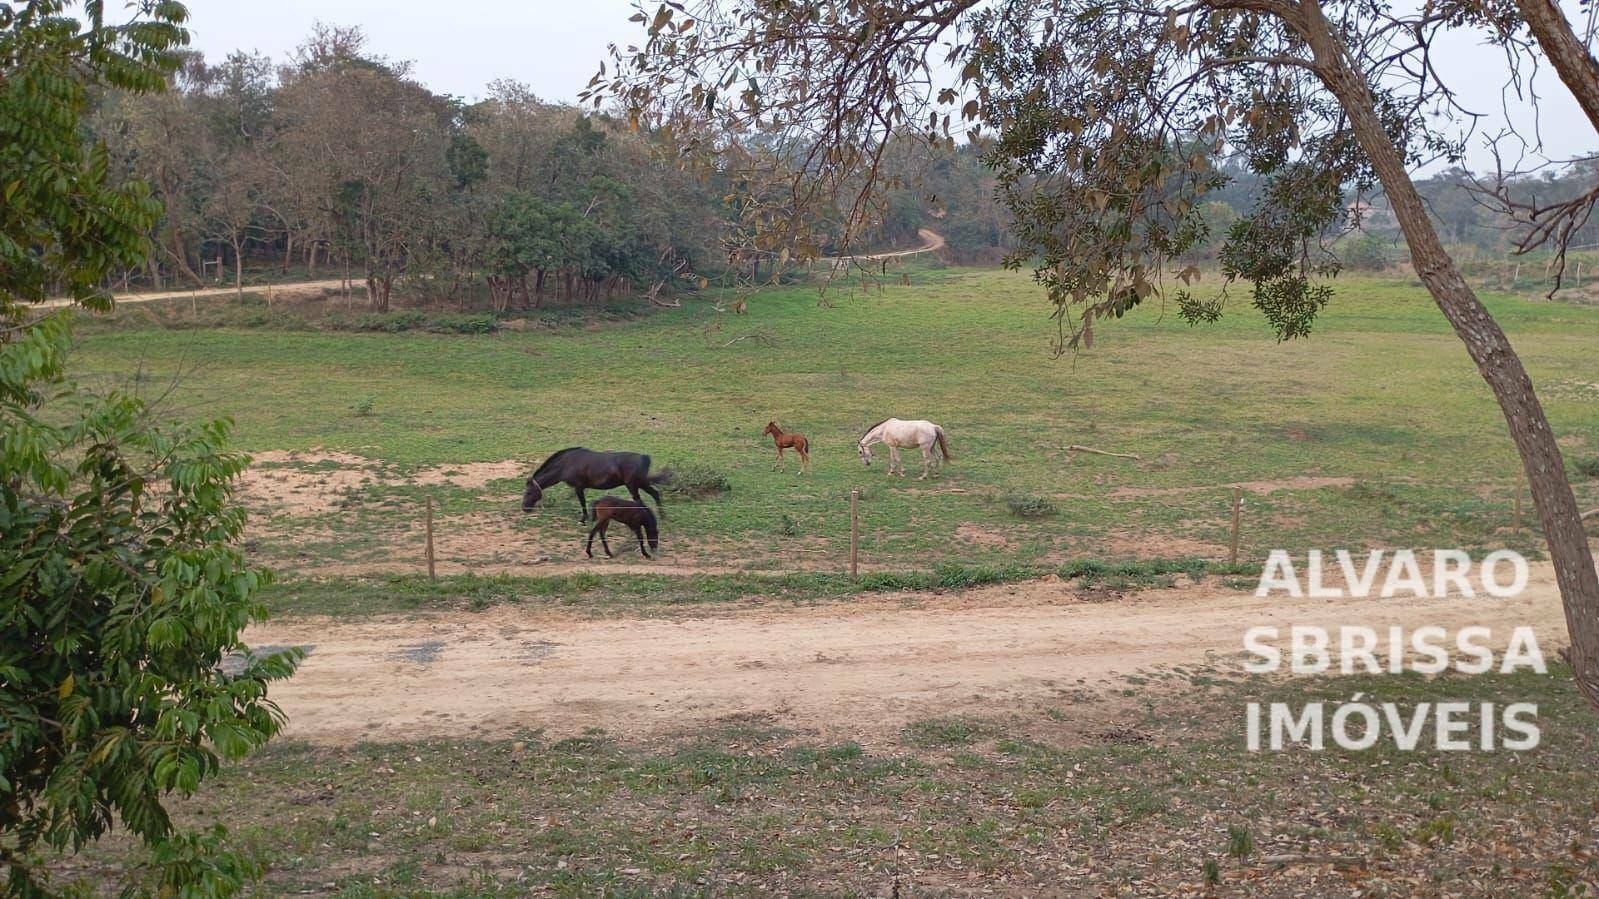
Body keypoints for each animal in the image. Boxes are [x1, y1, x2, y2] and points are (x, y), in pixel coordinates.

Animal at [518, 444, 668, 521]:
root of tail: (644, 457)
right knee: (655, 494)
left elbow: (582, 502)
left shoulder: (579, 487)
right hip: (641, 484)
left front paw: (584, 519)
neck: (565, 464)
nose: (524, 508)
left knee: (641, 502)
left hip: (633, 485)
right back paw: (662, 516)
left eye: (529, 492)